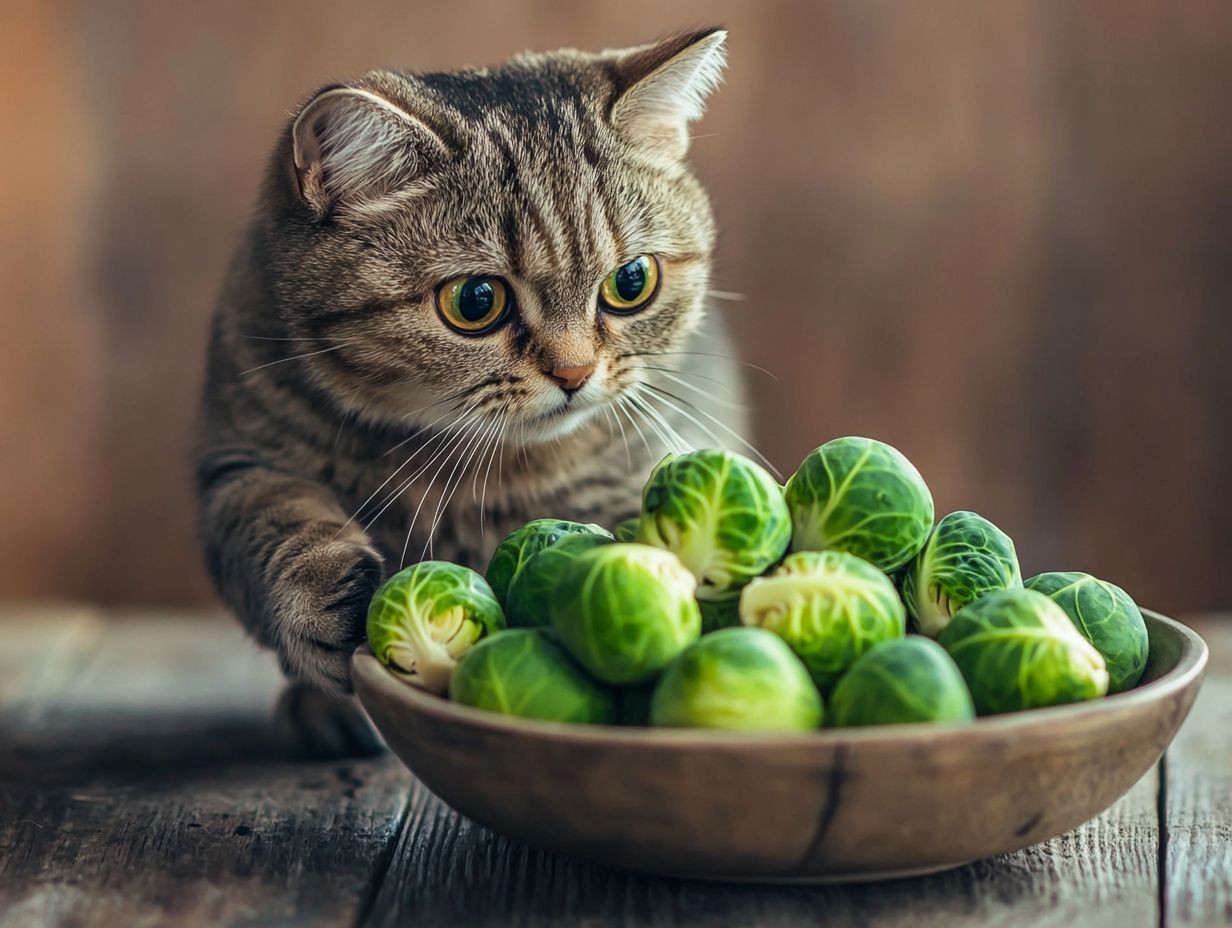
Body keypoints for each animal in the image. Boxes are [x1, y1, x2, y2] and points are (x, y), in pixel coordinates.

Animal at [194, 28, 749, 754]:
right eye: (476, 301)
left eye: (632, 282)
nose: (574, 374)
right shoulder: (239, 459)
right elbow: (276, 522)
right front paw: (327, 603)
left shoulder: (627, 477)